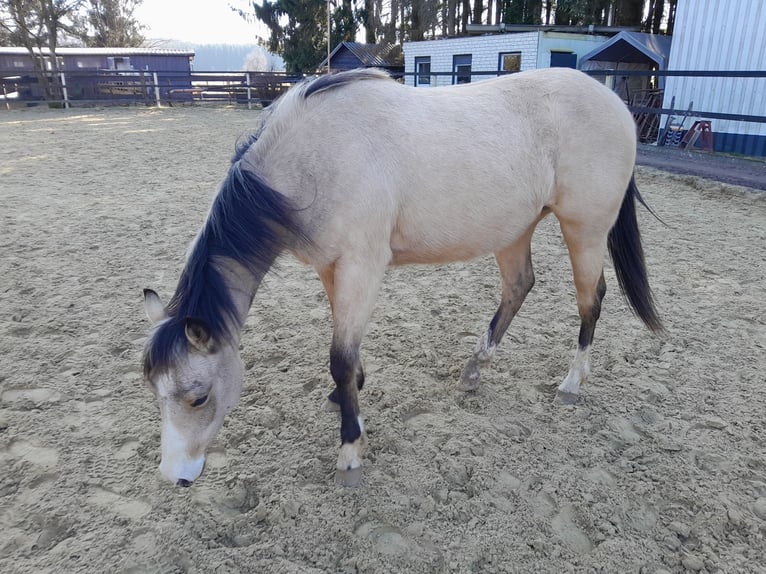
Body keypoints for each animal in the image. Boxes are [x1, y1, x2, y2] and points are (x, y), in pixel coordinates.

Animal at [142, 67, 662, 488]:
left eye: (197, 397)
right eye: (155, 392)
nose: (175, 476)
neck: (314, 157)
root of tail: (614, 102)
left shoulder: (362, 267)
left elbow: (340, 357)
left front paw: (351, 451)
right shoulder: (332, 269)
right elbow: (344, 355)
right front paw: (345, 396)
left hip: (585, 231)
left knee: (590, 299)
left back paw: (572, 384)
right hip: (516, 229)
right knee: (519, 286)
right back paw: (474, 370)